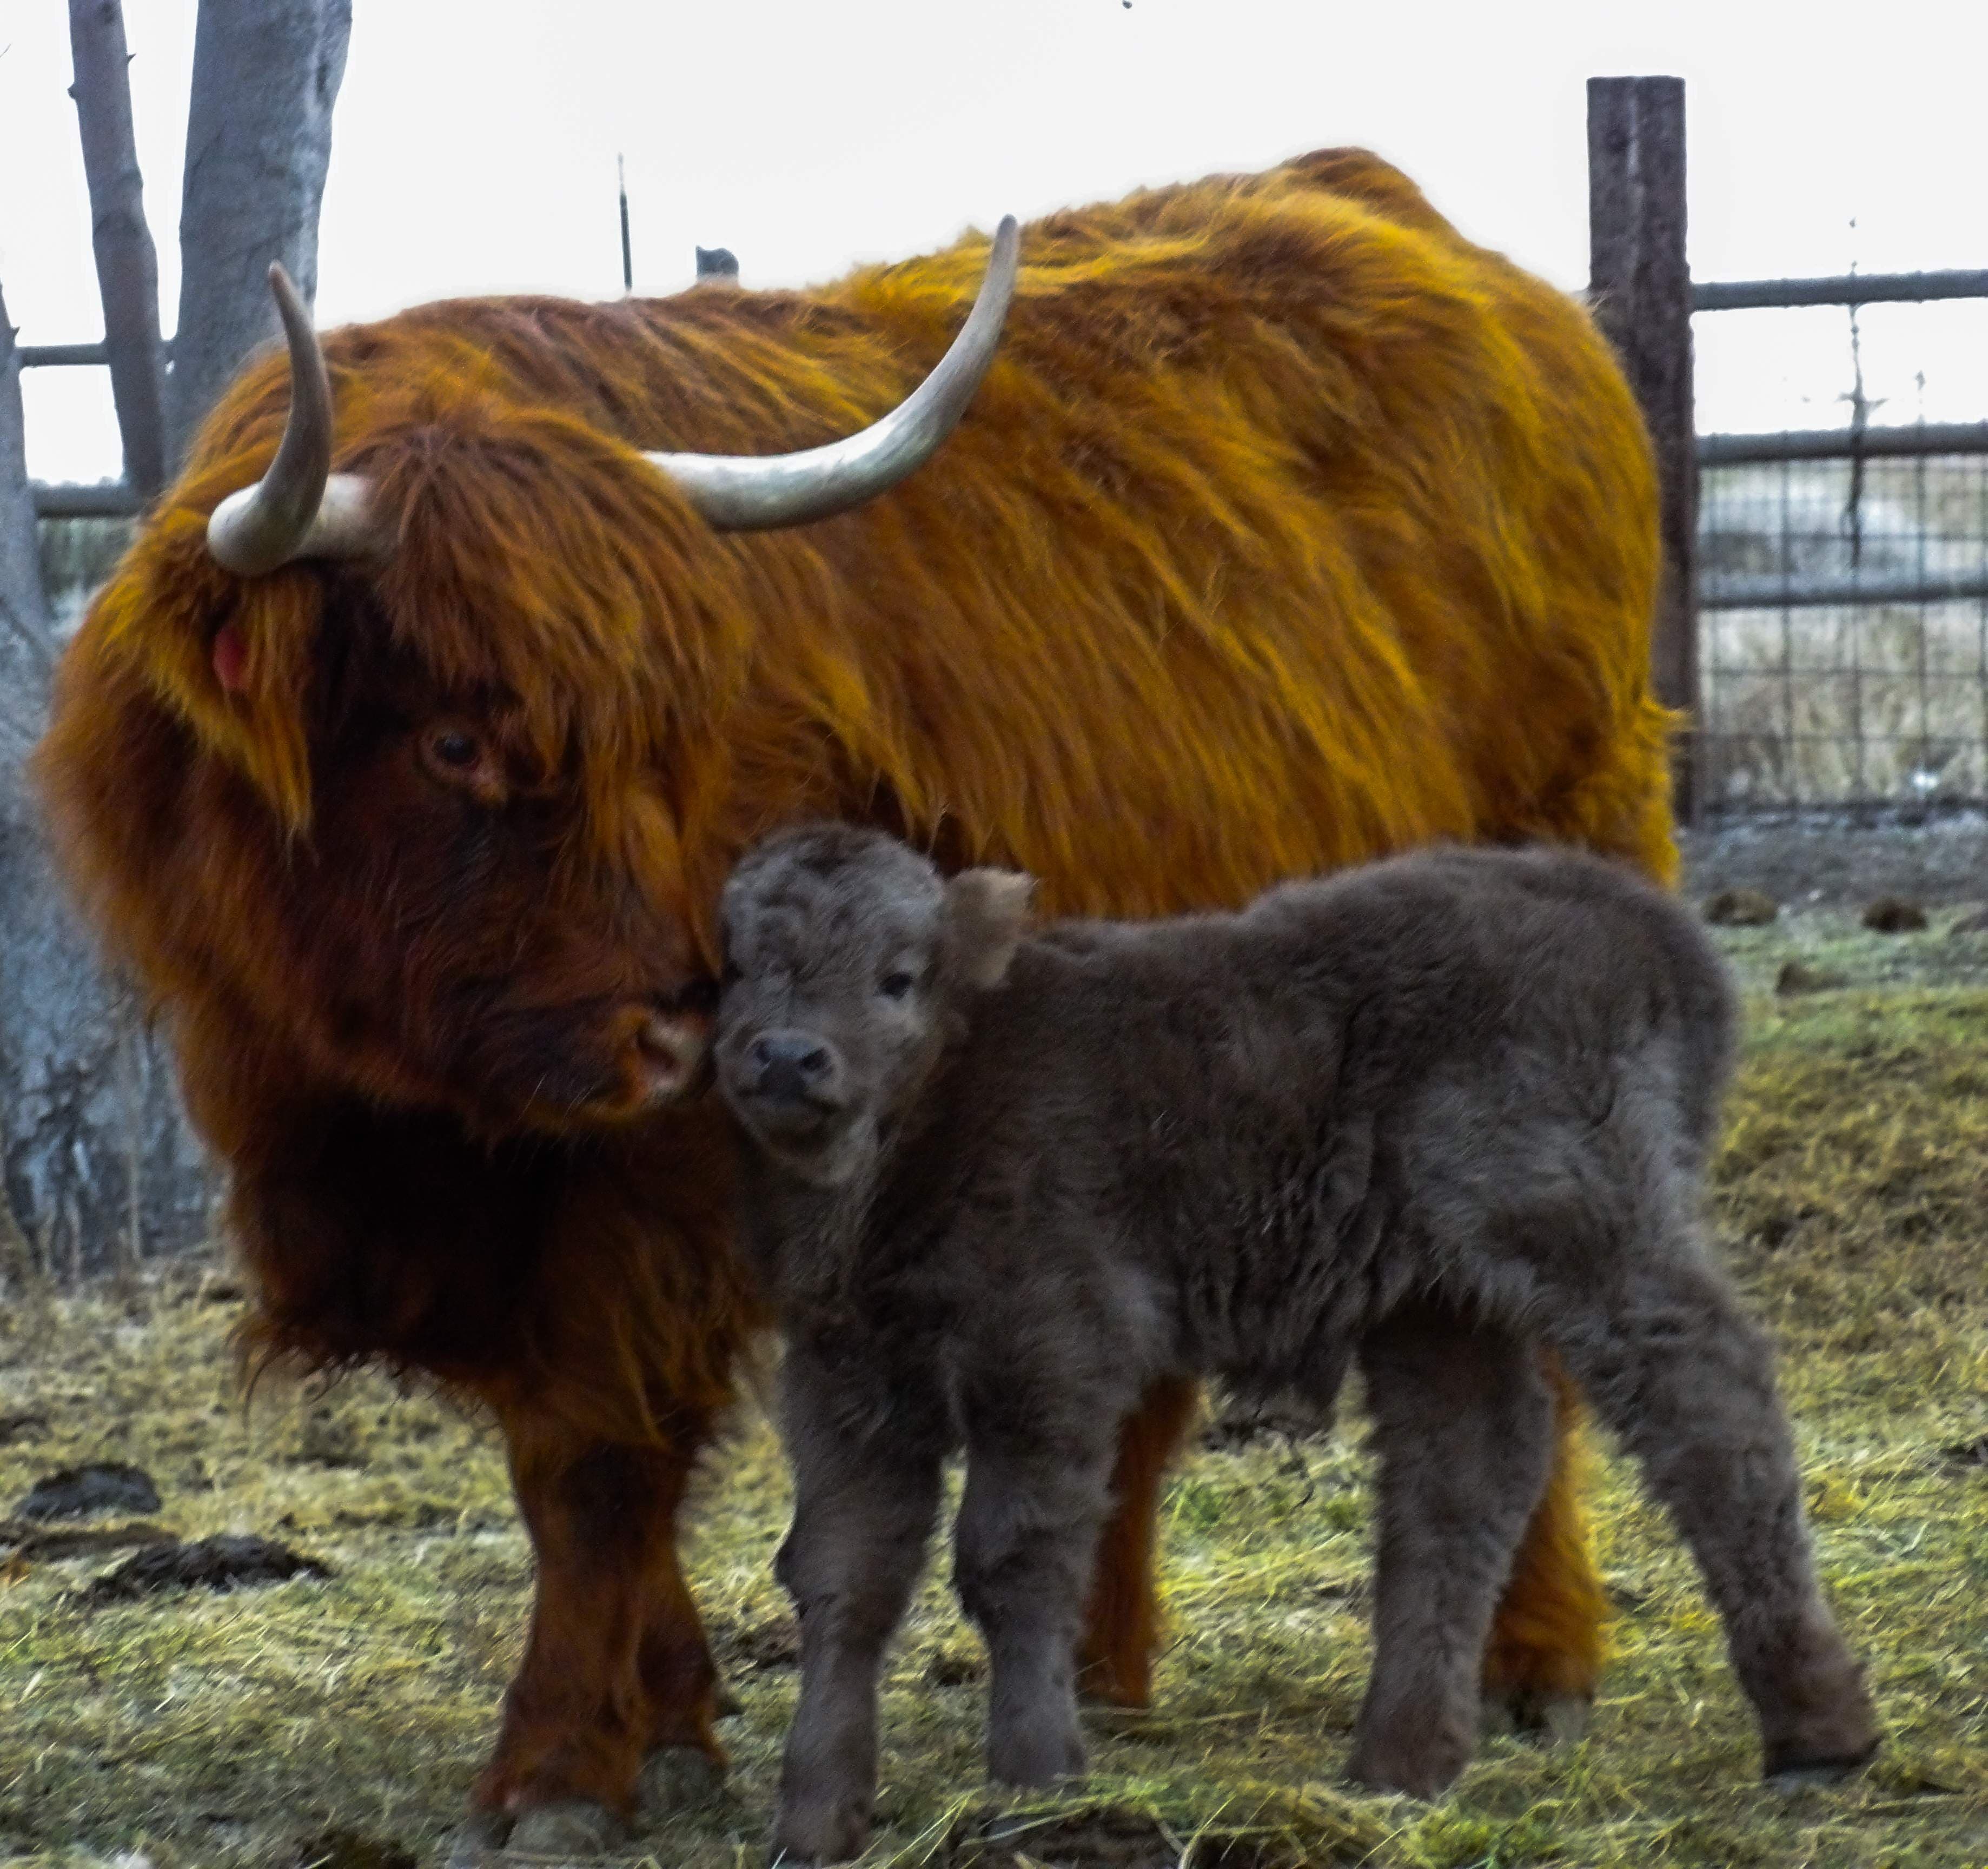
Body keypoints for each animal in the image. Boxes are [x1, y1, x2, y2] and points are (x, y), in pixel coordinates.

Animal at [36, 149, 1675, 1854]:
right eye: (454, 743)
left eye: (666, 745)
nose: (681, 1033)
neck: (404, 1116)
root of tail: (1383, 206)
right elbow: (564, 1466)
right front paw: (672, 1720)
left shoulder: (652, 1196)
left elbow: (596, 1457)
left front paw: (558, 1768)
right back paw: (1099, 1675)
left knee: (1523, 1338)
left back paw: (1536, 1662)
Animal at [713, 823, 1879, 1864]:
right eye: (736, 969)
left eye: (898, 977)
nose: (788, 1057)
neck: (947, 1096)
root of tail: (1632, 913)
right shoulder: (844, 1384)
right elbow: (842, 1574)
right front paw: (813, 1819)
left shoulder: (1049, 1358)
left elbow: (1012, 1557)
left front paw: (1034, 1781)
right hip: (1438, 1298)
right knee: (1466, 1472)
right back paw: (1398, 1766)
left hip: (1587, 1231)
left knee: (1709, 1402)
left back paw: (1817, 1732)